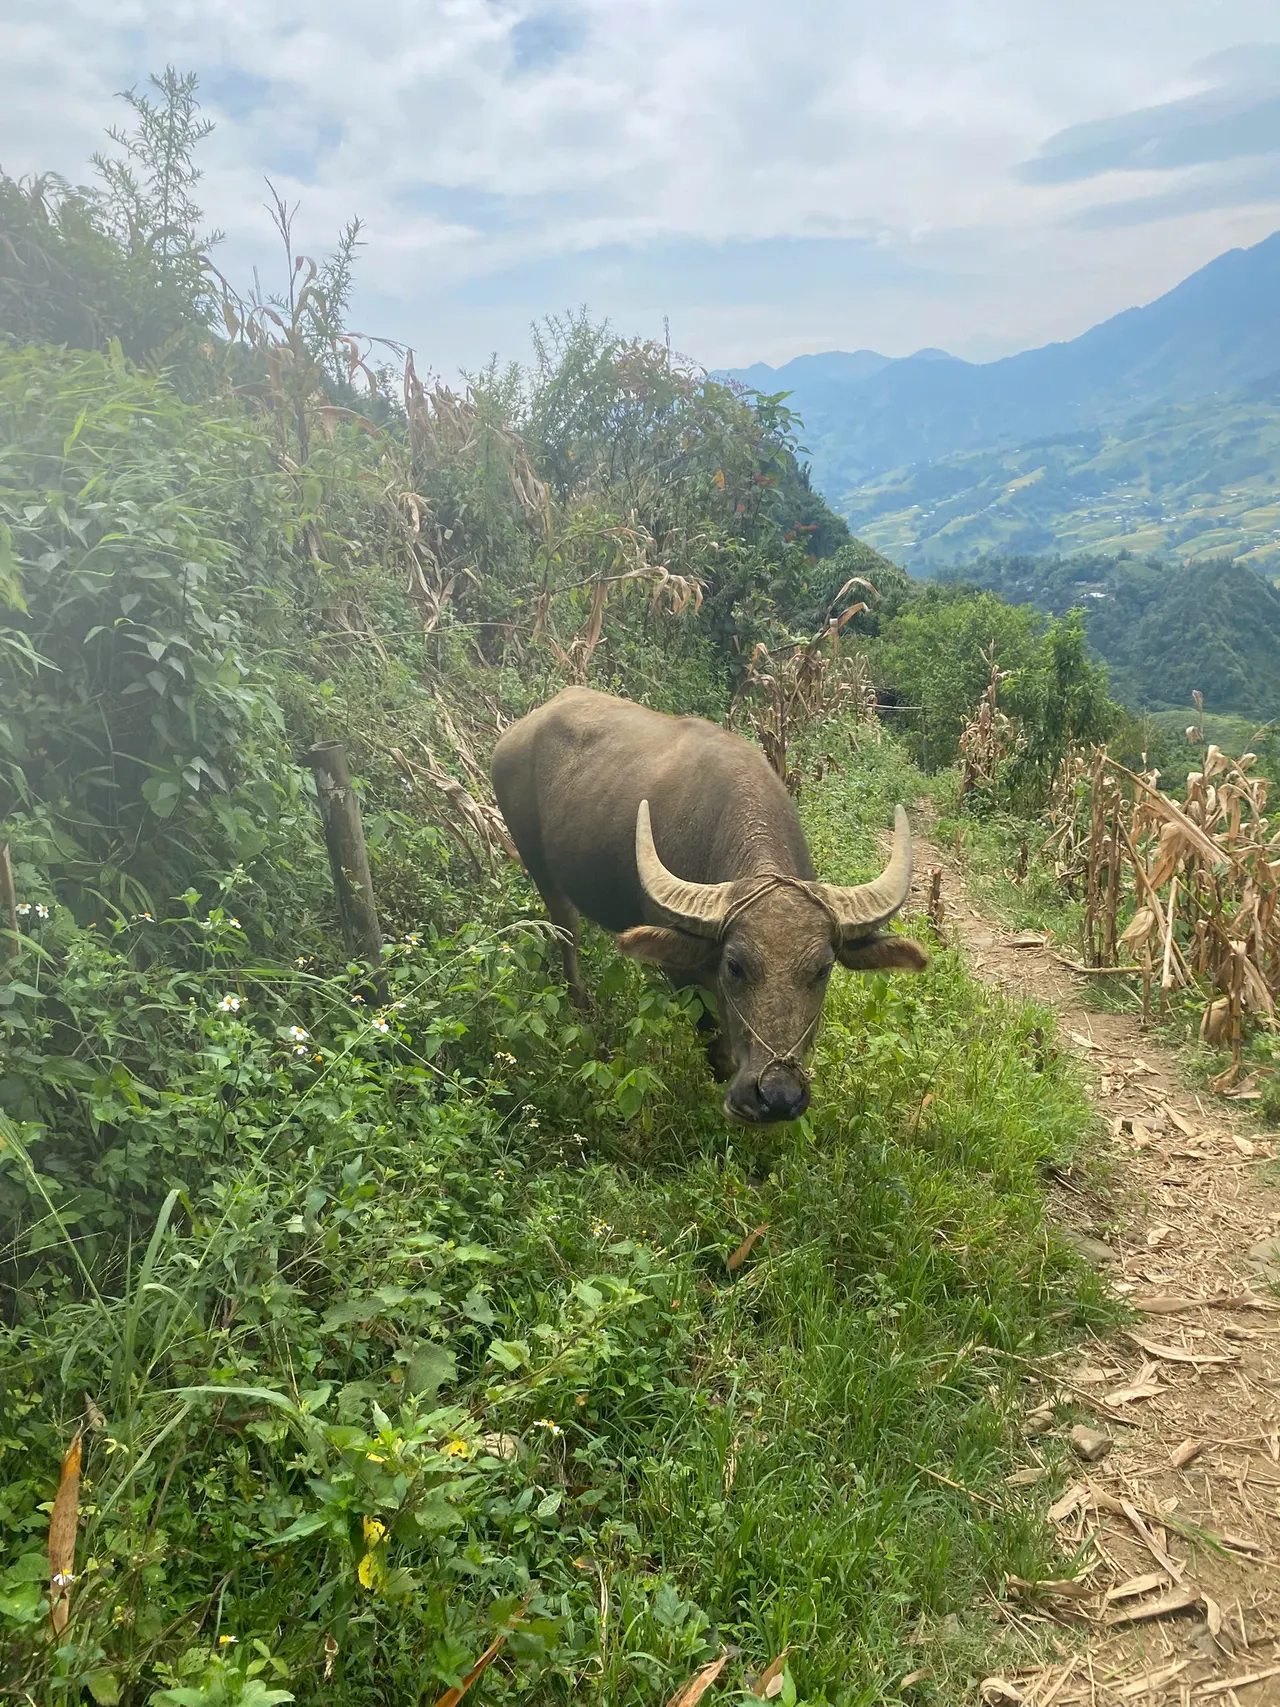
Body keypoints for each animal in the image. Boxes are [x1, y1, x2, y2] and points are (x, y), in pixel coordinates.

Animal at [492, 687, 927, 1124]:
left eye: (821, 971)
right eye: (735, 966)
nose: (777, 1097)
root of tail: (515, 734)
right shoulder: (685, 971)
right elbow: (712, 1033)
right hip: (538, 863)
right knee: (567, 931)